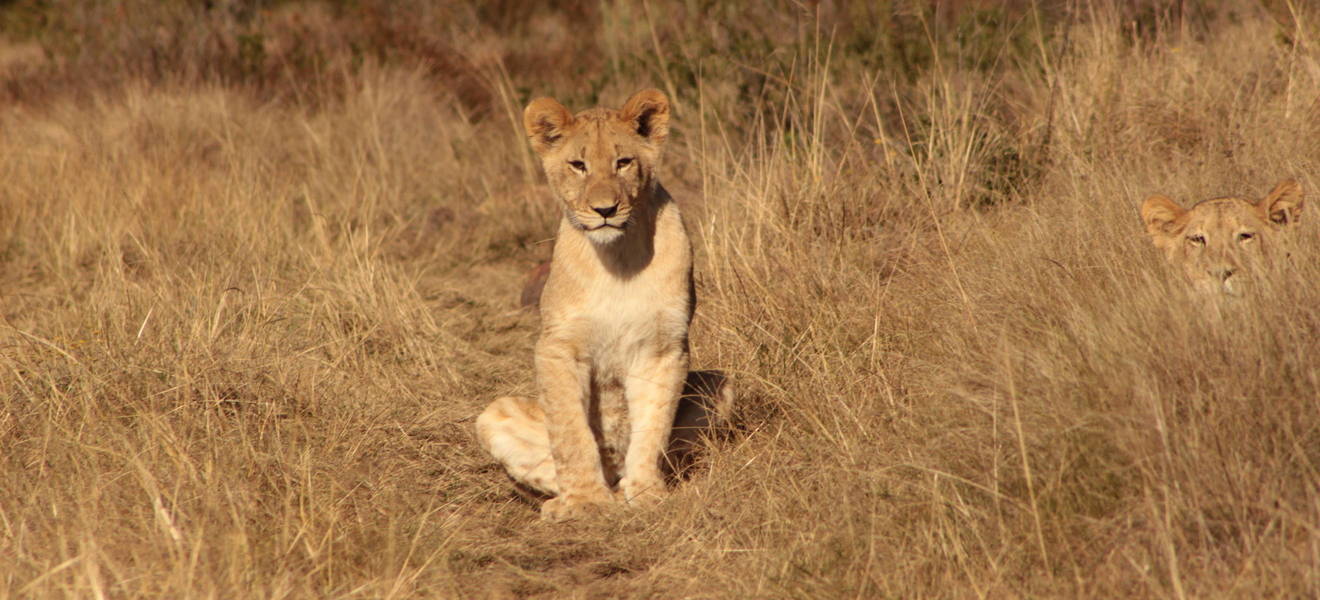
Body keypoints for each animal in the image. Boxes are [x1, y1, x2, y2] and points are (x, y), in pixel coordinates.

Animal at [476, 89, 726, 521]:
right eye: (578, 165)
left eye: (622, 162)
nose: (605, 210)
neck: (618, 260)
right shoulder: (559, 347)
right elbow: (571, 432)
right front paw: (585, 501)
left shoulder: (663, 348)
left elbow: (653, 424)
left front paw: (646, 493)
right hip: (492, 413)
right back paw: (570, 498)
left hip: (720, 384)